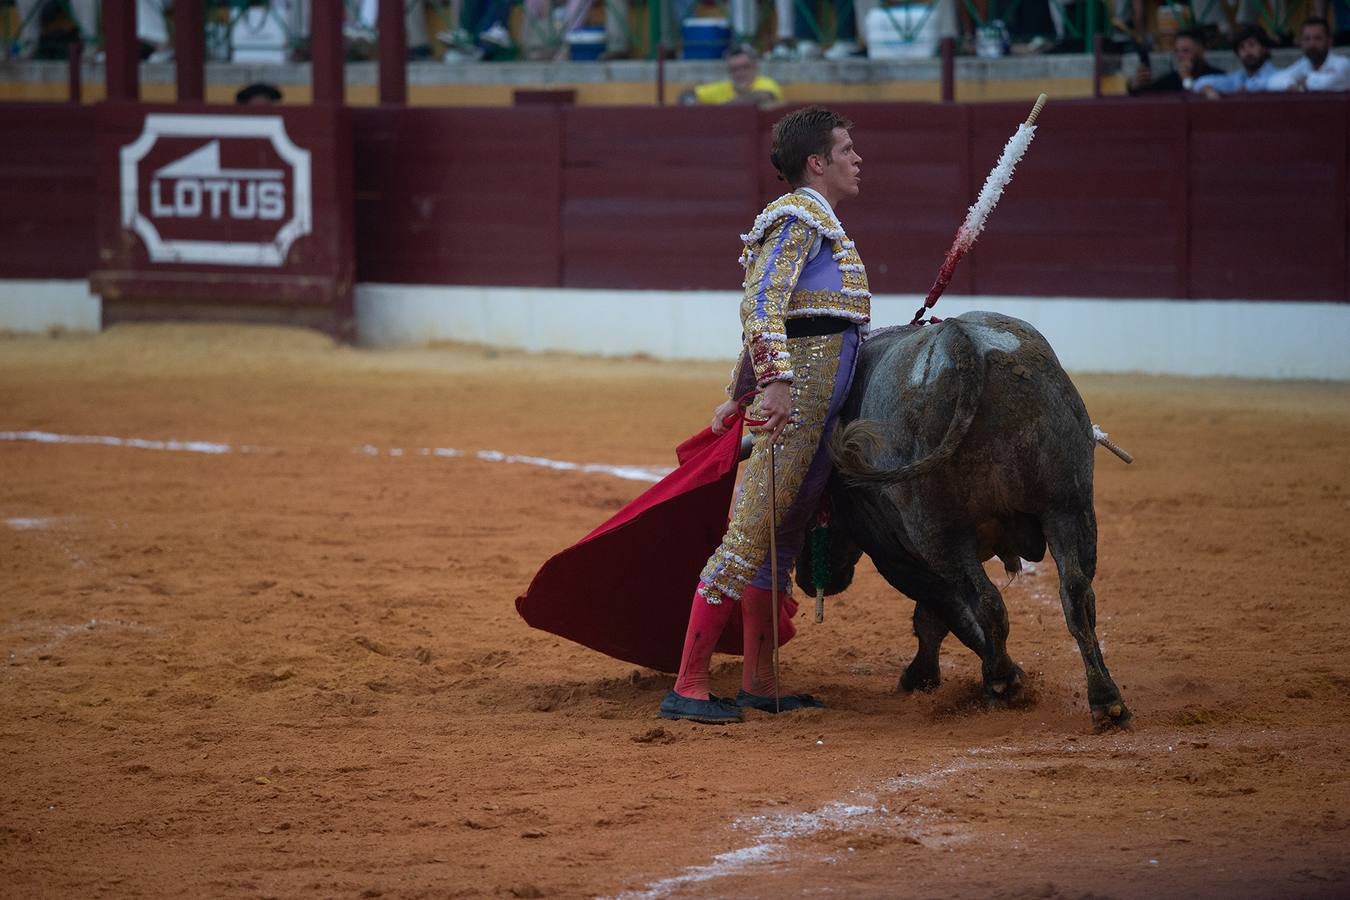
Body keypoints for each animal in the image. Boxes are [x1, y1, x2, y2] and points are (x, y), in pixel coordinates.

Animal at [793, 313, 1134, 728]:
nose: (807, 582)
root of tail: (964, 341)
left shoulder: (896, 557)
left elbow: (941, 613)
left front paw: (934, 676)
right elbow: (942, 615)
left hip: (941, 535)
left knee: (987, 601)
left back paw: (1001, 683)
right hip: (1069, 508)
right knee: (1077, 595)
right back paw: (1106, 700)